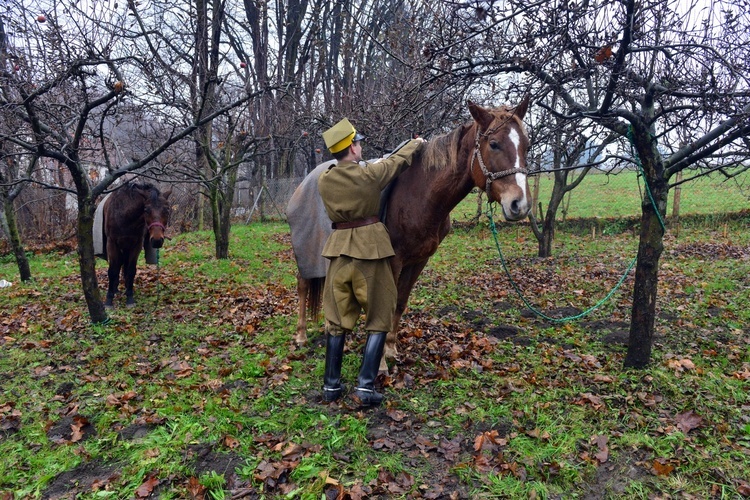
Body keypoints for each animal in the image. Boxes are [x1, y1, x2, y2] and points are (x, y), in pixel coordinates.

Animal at [290, 98, 536, 372]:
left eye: (527, 145)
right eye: (493, 144)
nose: (520, 204)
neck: (421, 194)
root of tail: (308, 180)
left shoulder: (418, 261)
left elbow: (400, 302)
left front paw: (390, 349)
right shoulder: (393, 261)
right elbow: (385, 306)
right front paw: (380, 365)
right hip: (307, 251)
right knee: (303, 284)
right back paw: (301, 335)